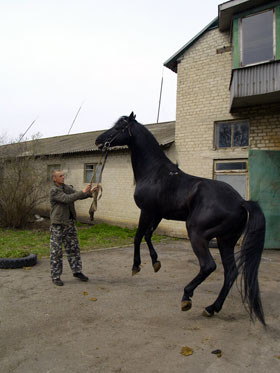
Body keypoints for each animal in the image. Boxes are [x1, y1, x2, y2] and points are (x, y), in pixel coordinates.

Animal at [95, 112, 266, 324]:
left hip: (198, 234)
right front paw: (156, 263)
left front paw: (136, 266)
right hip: (225, 240)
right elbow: (148, 236)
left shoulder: (146, 212)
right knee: (231, 271)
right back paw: (211, 308)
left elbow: (137, 237)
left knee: (208, 266)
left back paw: (187, 297)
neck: (154, 172)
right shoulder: (158, 214)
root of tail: (241, 201)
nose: (99, 140)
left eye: (119, 127)